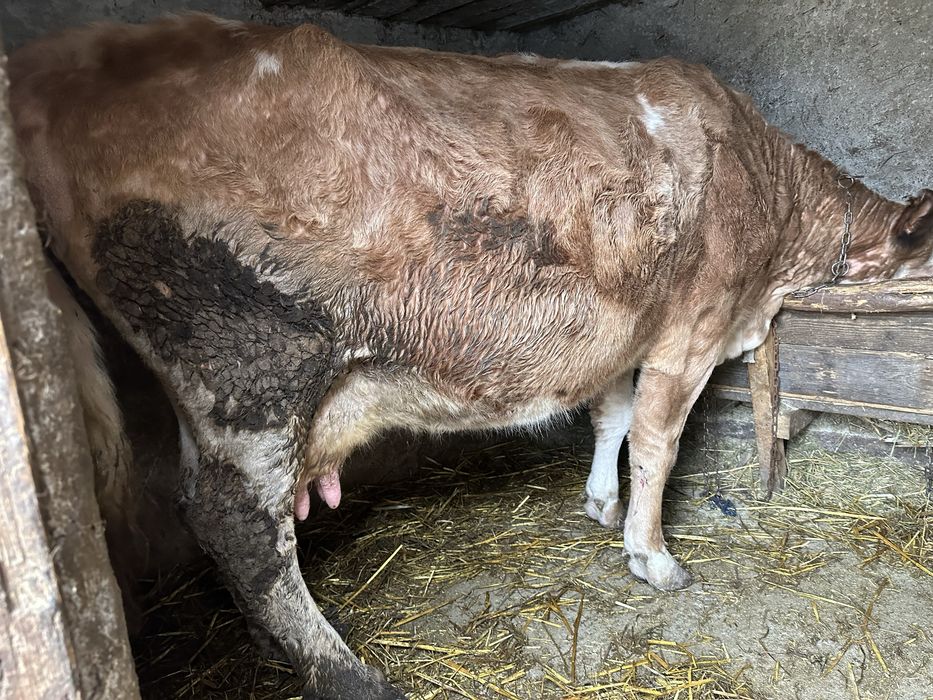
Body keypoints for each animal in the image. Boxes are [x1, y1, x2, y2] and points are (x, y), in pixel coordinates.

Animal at [9, 13, 933, 699]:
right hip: (243, 354)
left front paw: (600, 505)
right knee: (239, 527)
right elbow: (657, 442)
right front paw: (652, 556)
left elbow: (611, 415)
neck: (771, 193)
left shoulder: (628, 325)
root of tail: (49, 60)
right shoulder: (692, 325)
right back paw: (344, 672)